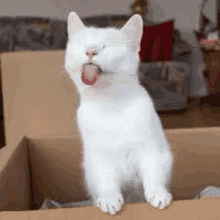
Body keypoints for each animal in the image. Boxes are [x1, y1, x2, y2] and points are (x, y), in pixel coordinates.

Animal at [65, 11, 174, 214]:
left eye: (107, 45)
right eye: (83, 44)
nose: (90, 50)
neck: (112, 106)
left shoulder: (151, 148)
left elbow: (154, 171)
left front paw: (158, 193)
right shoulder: (99, 156)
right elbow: (105, 179)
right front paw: (109, 198)